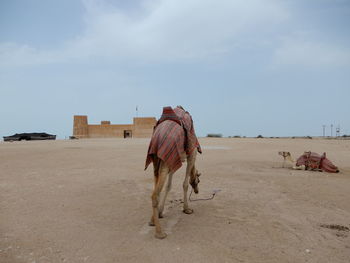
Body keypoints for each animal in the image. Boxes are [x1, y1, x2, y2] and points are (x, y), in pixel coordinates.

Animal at [144, 106, 201, 240]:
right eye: (199, 180)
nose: (197, 191)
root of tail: (157, 137)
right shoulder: (192, 152)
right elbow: (184, 184)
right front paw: (187, 209)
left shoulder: (173, 160)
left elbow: (168, 186)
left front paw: (160, 212)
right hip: (164, 159)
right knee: (154, 194)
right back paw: (160, 233)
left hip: (156, 161)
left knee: (156, 188)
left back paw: (152, 221)